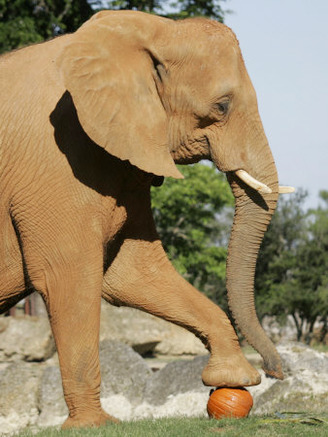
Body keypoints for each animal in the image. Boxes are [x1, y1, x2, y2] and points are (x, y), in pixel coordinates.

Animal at [0, 11, 292, 430]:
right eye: (221, 106)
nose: (276, 372)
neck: (152, 29)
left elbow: (132, 274)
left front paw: (233, 379)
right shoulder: (55, 160)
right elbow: (68, 277)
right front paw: (95, 426)